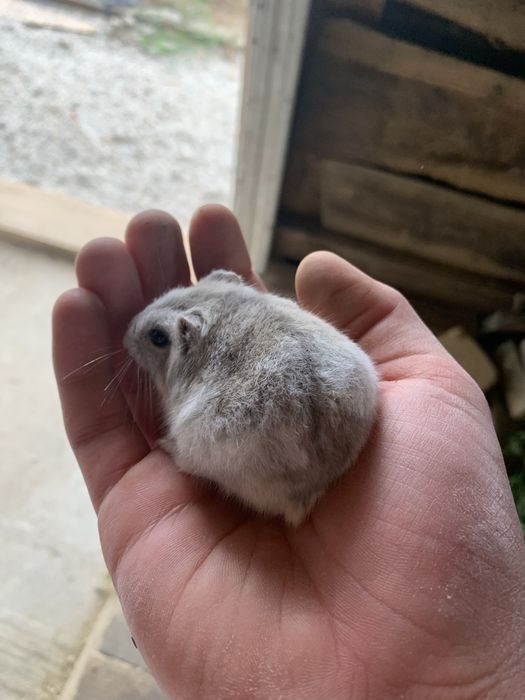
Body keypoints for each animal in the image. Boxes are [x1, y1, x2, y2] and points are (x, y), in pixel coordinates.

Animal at [124, 270, 378, 526]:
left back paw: (164, 444)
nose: (127, 333)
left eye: (157, 336)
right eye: (174, 291)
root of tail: (312, 488)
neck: (222, 312)